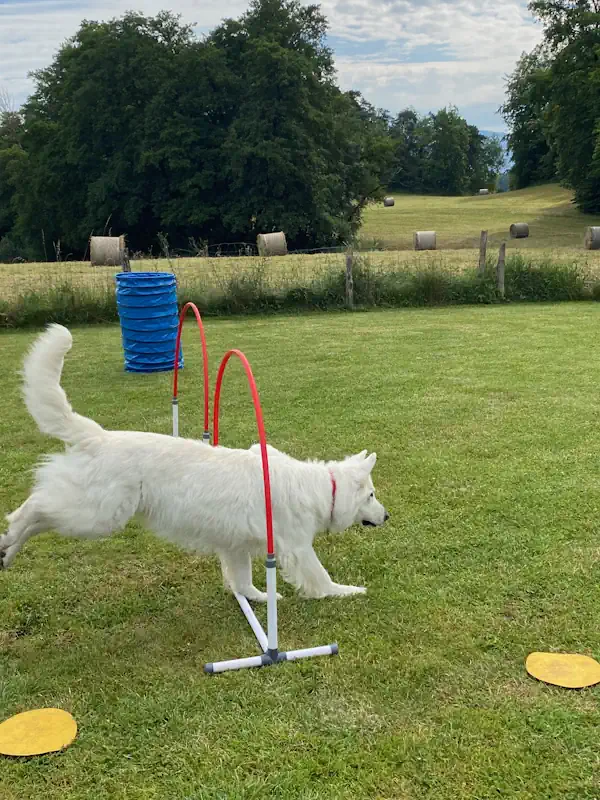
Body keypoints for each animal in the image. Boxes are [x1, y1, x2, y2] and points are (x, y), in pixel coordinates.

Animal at [1, 324, 390, 600]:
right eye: (371, 495)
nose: (387, 517)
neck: (324, 488)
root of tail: (100, 436)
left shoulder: (235, 547)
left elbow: (243, 582)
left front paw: (260, 598)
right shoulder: (297, 548)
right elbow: (320, 578)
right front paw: (345, 592)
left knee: (39, 515)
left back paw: (7, 549)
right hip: (98, 516)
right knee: (34, 508)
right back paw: (12, 533)